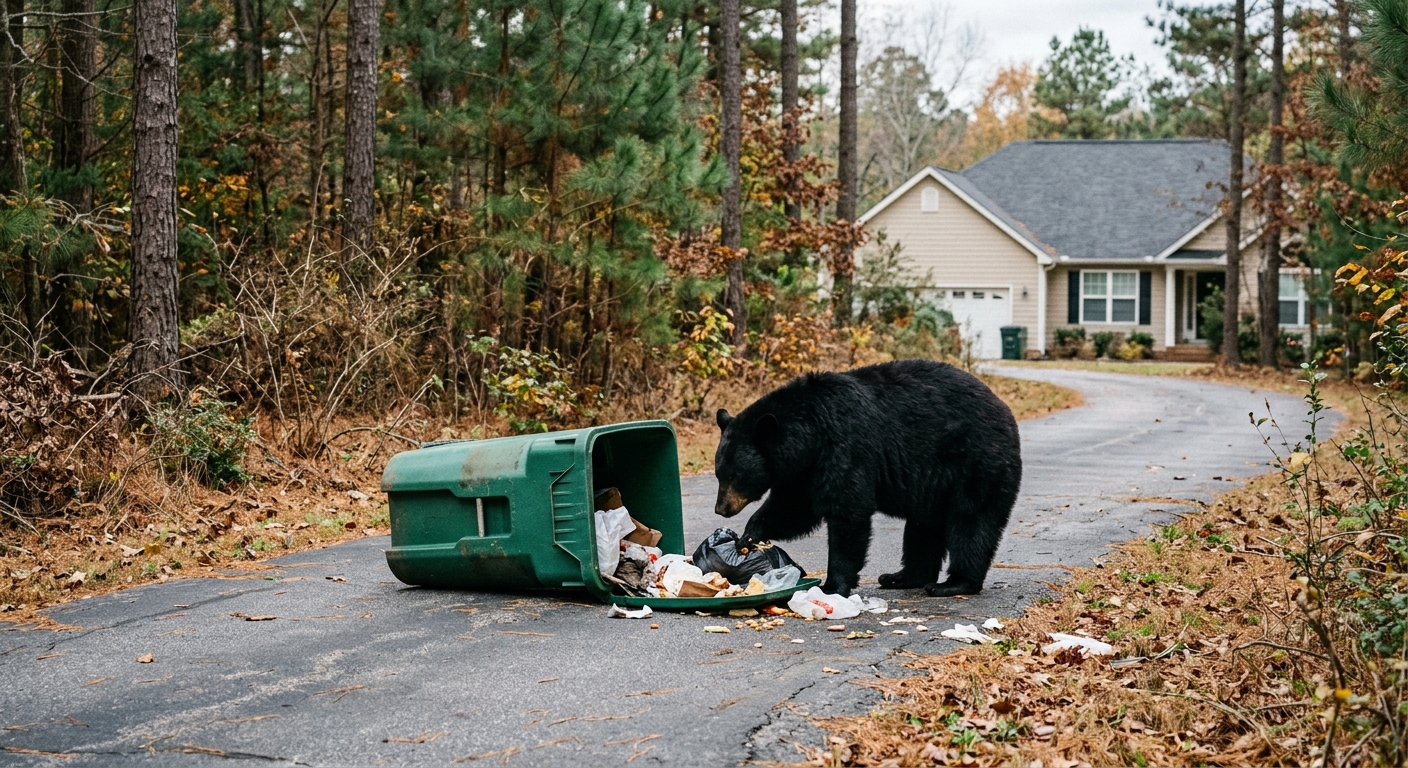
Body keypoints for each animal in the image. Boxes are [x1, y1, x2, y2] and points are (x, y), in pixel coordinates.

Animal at [713, 358, 1022, 597]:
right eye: (719, 473)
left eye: (734, 475)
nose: (721, 509)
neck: (811, 431)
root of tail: (1005, 409)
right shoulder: (806, 469)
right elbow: (793, 507)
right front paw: (749, 534)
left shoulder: (845, 446)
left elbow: (847, 512)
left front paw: (832, 585)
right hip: (936, 485)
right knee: (922, 528)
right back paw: (902, 577)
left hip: (976, 462)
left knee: (971, 521)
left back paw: (953, 583)